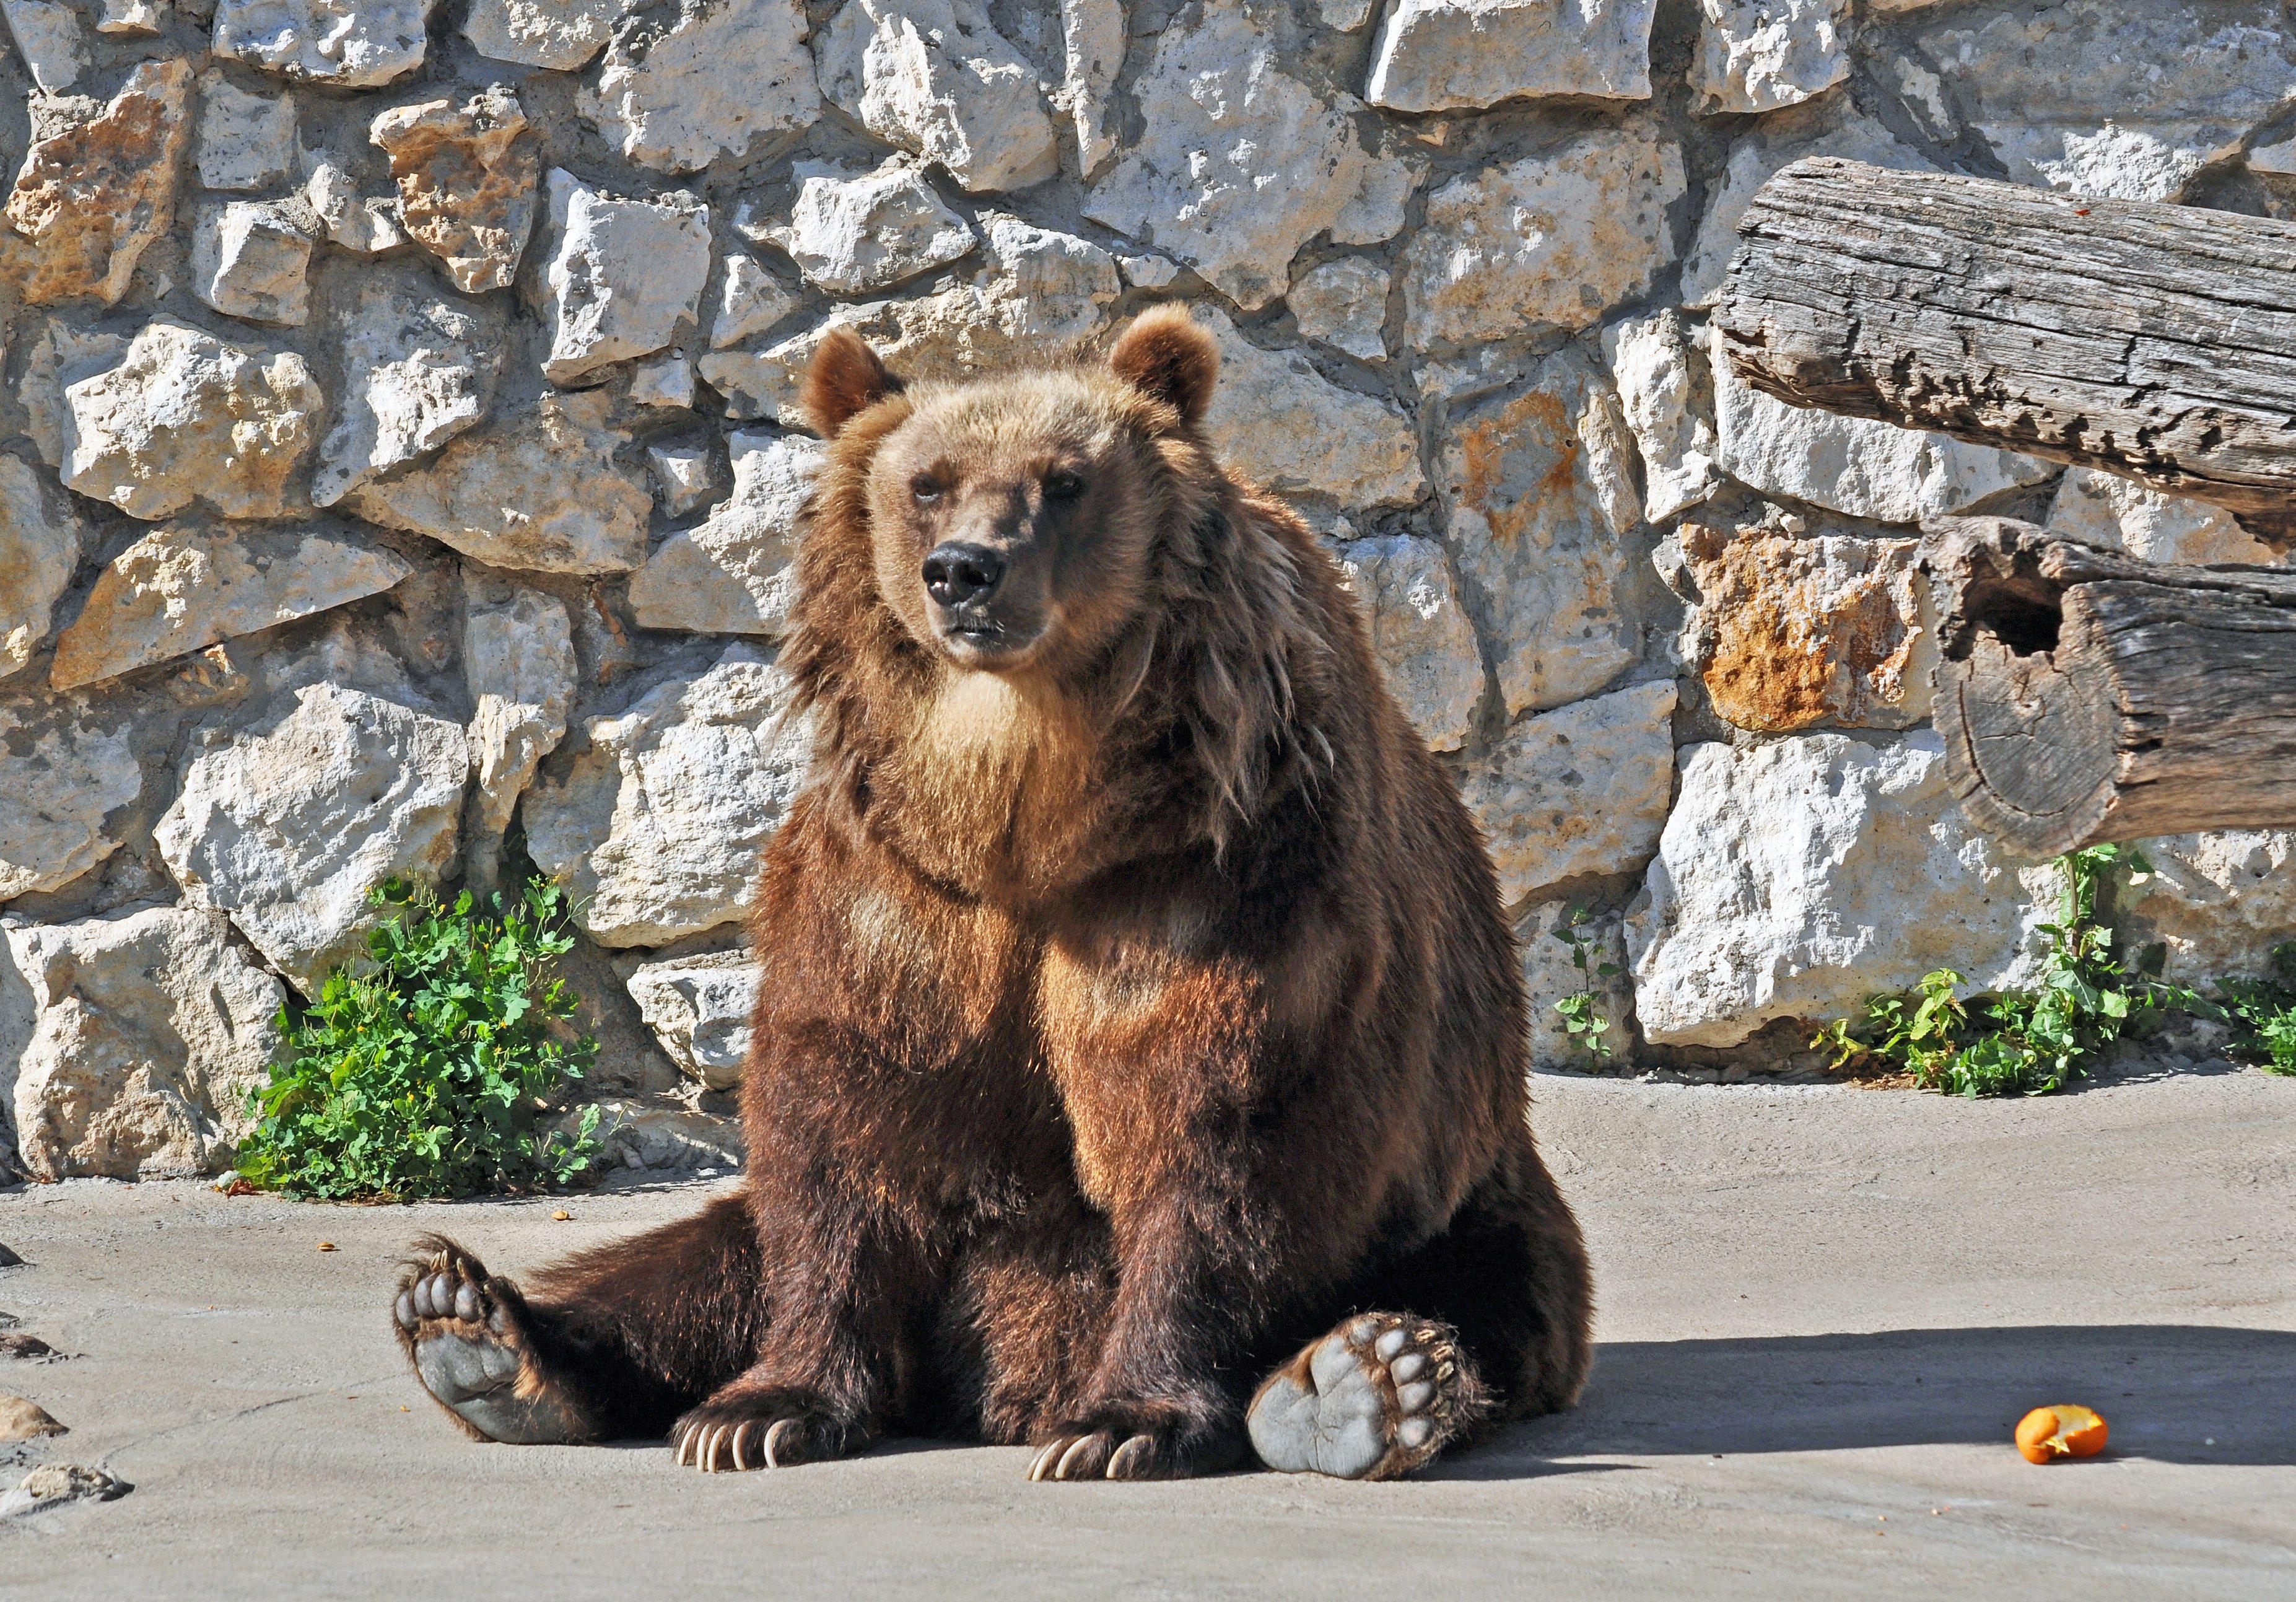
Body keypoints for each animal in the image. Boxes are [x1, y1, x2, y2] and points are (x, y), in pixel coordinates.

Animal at [385, 305, 1589, 1477]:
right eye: (928, 481)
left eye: (1063, 479)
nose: (964, 570)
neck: (1030, 806)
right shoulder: (900, 889)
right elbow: (839, 1124)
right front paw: (758, 1409)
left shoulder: (1220, 874)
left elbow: (1208, 1129)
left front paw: (1120, 1422)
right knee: (709, 1252)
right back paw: (479, 1330)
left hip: (1464, 1189)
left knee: (1486, 1297)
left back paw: (1365, 1381)